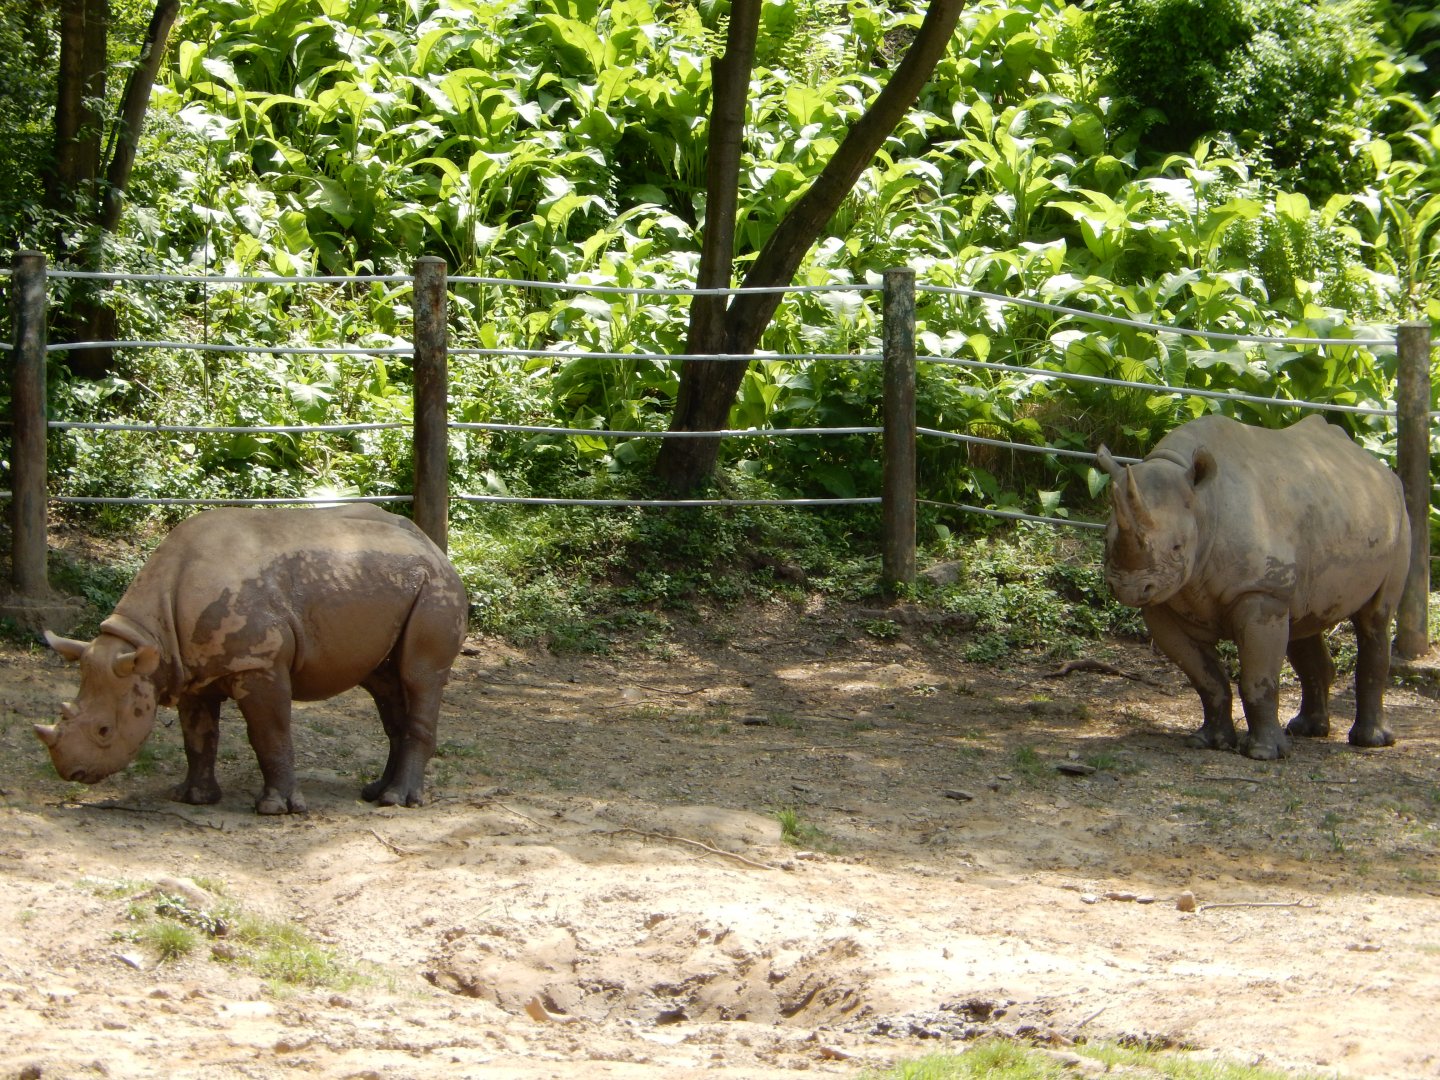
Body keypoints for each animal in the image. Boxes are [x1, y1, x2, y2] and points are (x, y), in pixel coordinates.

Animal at [35, 503, 468, 813]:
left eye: (104, 731)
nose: (70, 772)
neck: (146, 638)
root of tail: (435, 548)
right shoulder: (190, 670)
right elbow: (198, 735)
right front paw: (192, 798)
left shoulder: (259, 665)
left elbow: (268, 733)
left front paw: (276, 809)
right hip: (390, 584)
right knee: (384, 682)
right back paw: (375, 792)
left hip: (436, 587)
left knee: (419, 676)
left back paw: (397, 801)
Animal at [1098, 414, 1410, 760]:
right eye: (1105, 541)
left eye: (1178, 547)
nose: (1128, 588)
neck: (1203, 505)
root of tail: (1376, 465)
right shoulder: (1164, 603)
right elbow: (1207, 679)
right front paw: (1209, 742)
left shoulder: (1258, 593)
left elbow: (1257, 678)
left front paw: (1263, 753)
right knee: (1303, 620)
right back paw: (1307, 729)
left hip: (1399, 516)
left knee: (1375, 619)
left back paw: (1370, 740)